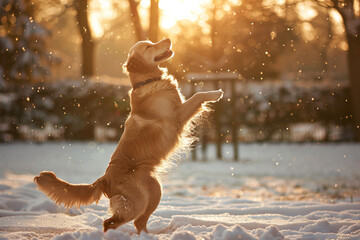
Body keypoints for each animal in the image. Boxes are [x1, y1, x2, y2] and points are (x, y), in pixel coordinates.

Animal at [33, 38, 222, 234]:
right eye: (148, 46)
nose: (168, 39)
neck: (148, 82)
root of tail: (105, 178)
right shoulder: (177, 116)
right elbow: (198, 95)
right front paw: (215, 93)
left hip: (154, 191)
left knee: (138, 222)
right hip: (138, 202)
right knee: (110, 222)